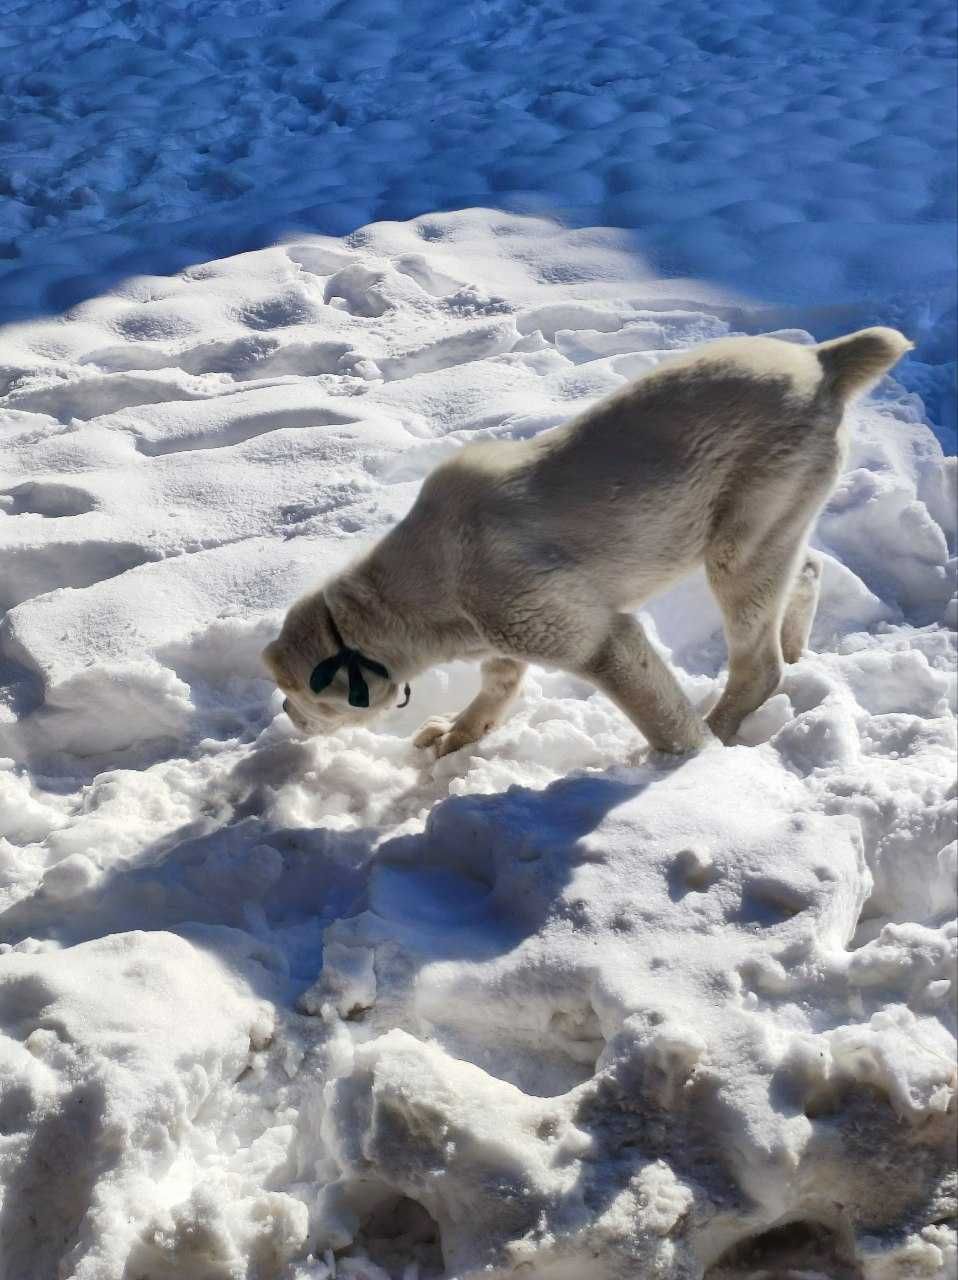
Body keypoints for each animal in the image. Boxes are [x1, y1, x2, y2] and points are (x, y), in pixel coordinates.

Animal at [262, 325, 911, 752]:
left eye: (297, 694)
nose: (286, 714)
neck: (420, 596)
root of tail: (823, 361)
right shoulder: (509, 635)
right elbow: (497, 687)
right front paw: (460, 733)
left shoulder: (598, 640)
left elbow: (662, 719)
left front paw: (689, 766)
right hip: (771, 527)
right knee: (806, 572)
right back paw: (798, 650)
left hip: (737, 550)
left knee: (758, 668)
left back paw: (722, 732)